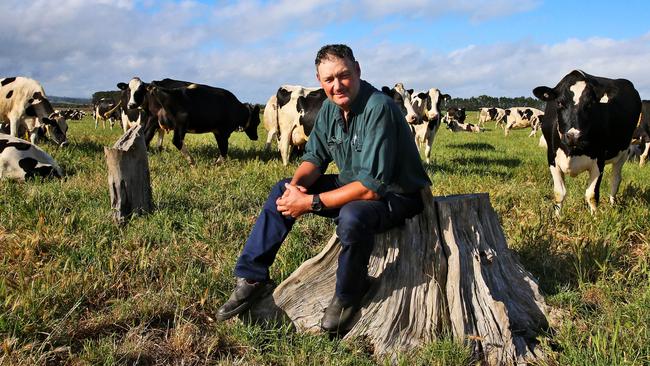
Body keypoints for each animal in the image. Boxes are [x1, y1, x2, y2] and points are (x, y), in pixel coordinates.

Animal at [532, 69, 636, 214]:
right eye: (559, 103)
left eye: (590, 104)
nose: (574, 136)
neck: (572, 152)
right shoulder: (552, 158)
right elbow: (559, 193)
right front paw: (557, 216)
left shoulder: (599, 161)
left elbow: (592, 195)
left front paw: (595, 217)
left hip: (623, 152)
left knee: (615, 180)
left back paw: (612, 206)